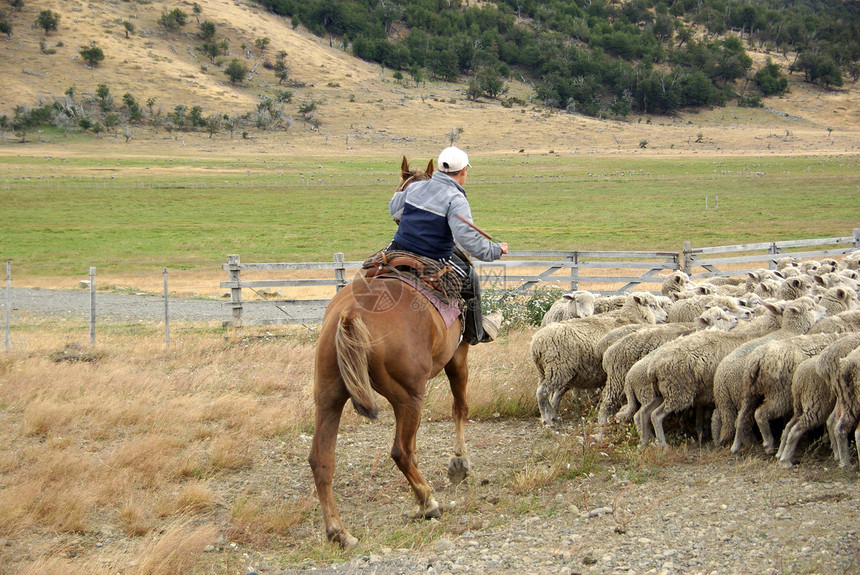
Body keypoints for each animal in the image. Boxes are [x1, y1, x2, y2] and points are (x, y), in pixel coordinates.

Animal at [310, 156, 474, 548]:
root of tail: (349, 314)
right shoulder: (458, 356)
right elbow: (460, 407)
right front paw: (459, 464)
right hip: (409, 396)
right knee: (401, 450)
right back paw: (428, 501)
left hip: (329, 395)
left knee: (321, 459)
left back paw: (339, 531)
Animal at [532, 292, 664, 428]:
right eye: (652, 305)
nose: (666, 316)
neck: (632, 319)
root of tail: (537, 341)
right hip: (558, 369)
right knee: (542, 393)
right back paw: (547, 420)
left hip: (547, 371)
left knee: (550, 393)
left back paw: (553, 415)